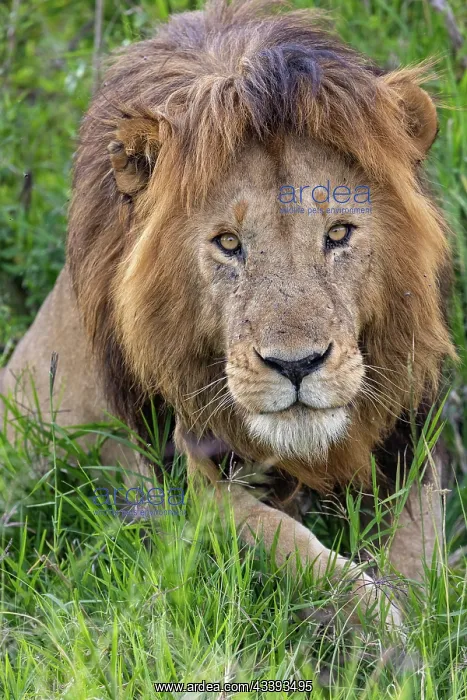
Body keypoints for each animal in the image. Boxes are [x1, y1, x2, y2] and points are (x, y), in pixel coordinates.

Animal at [1, 0, 455, 627]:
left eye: (339, 234)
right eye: (228, 244)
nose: (297, 365)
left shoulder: (411, 435)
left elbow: (421, 551)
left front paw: (427, 621)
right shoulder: (185, 475)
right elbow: (289, 547)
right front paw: (381, 628)